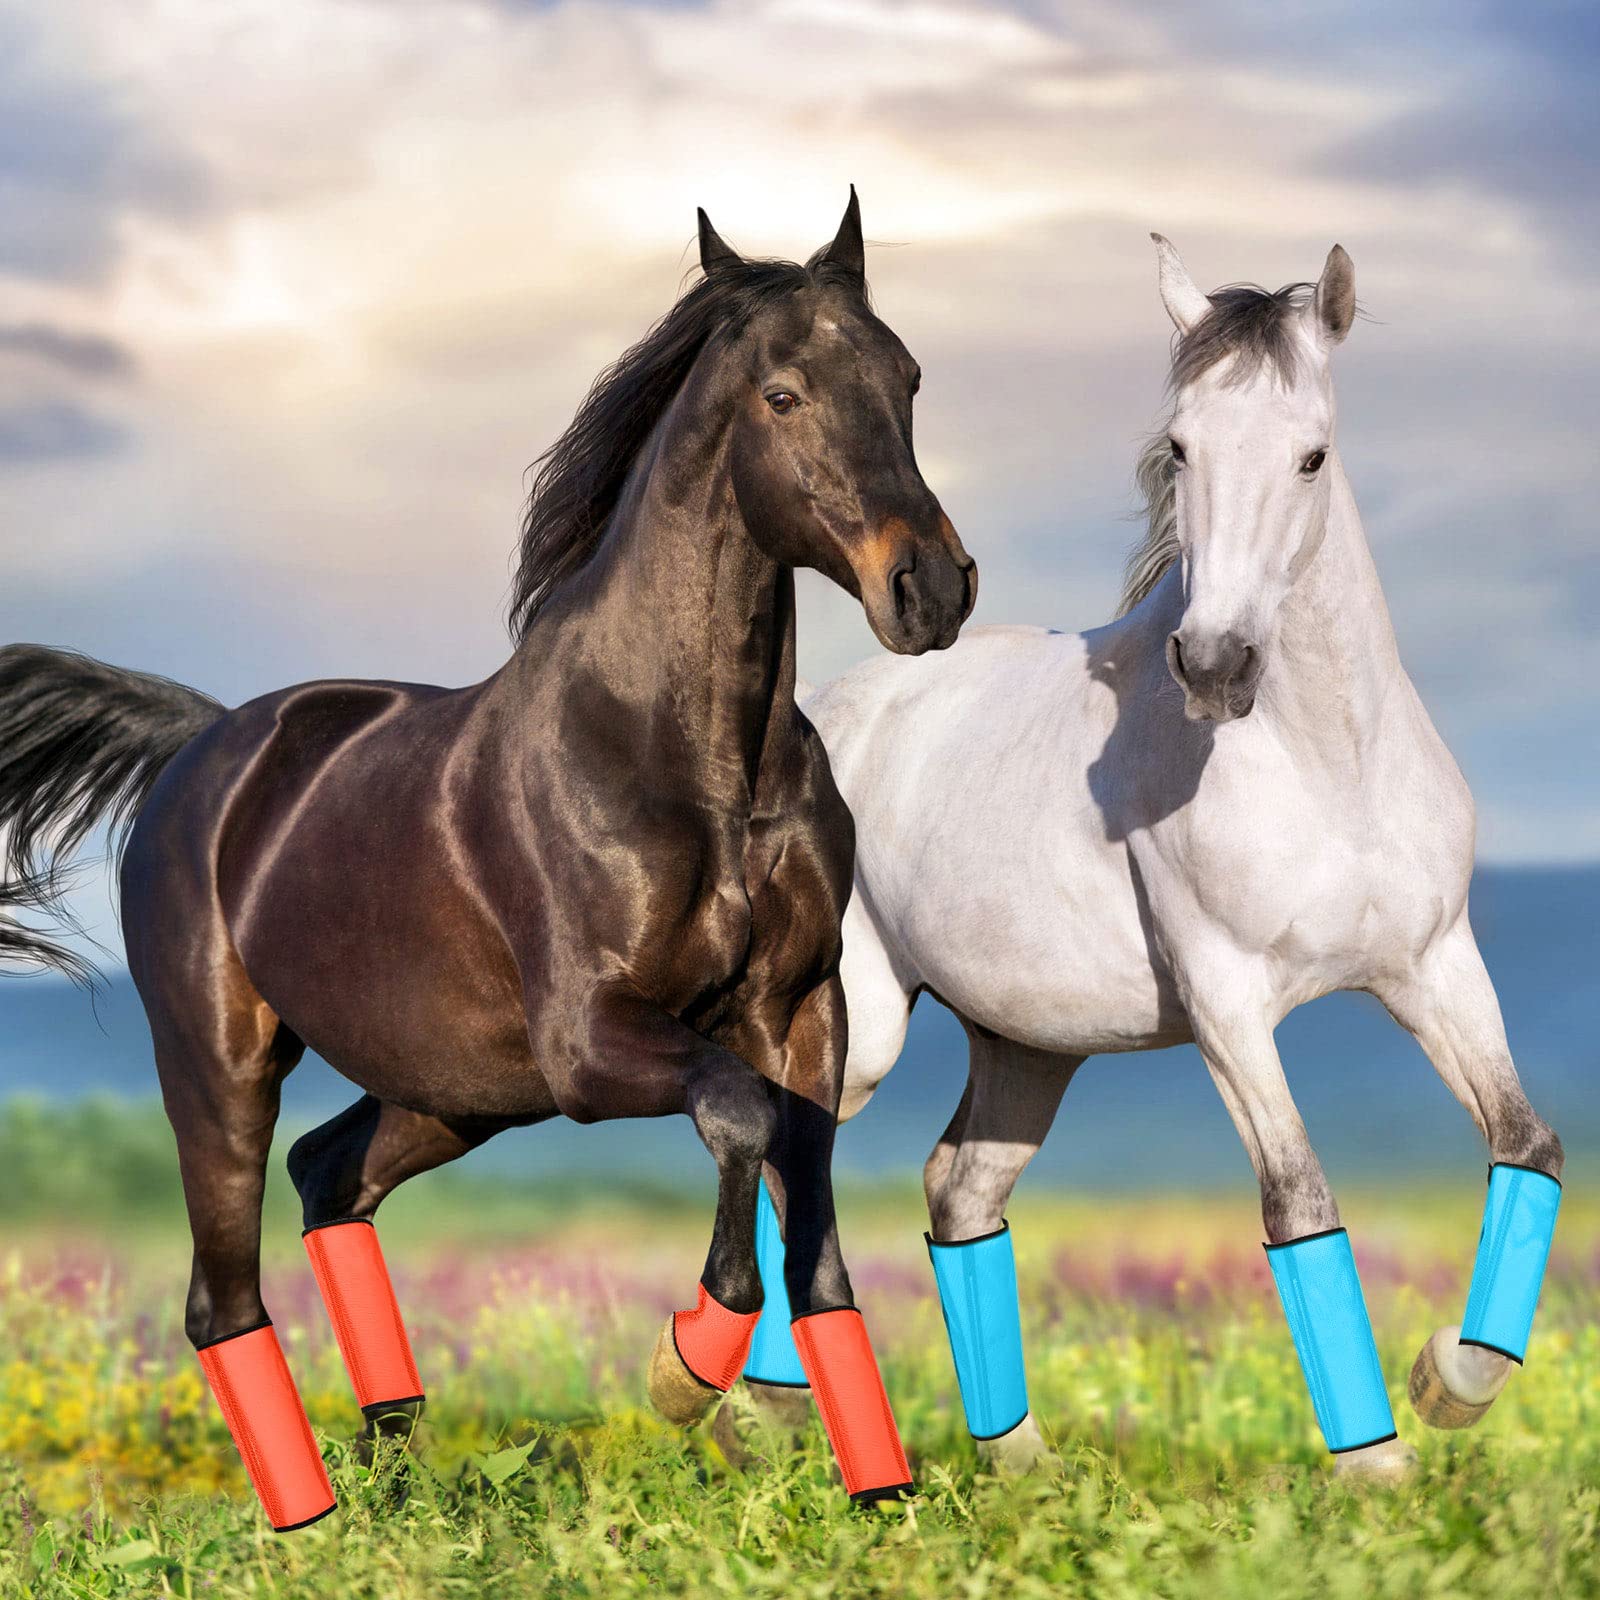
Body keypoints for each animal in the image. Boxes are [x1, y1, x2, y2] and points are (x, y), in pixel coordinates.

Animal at [0, 191, 976, 1527]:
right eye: (782, 393)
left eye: (908, 376)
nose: (931, 588)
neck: (690, 759)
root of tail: (203, 744)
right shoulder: (591, 1038)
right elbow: (735, 1120)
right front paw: (684, 1368)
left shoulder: (796, 1014)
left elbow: (814, 1230)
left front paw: (882, 1499)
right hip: (223, 1062)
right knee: (222, 1293)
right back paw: (311, 1521)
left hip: (455, 1090)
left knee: (330, 1175)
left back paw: (393, 1476)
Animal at [735, 236, 1563, 1482]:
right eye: (1180, 446)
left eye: (1312, 453)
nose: (1215, 664)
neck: (1327, 766)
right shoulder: (1227, 1004)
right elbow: (1298, 1198)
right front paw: (1376, 1463)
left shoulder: (1432, 968)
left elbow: (1529, 1145)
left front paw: (1448, 1380)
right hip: (863, 1026)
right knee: (793, 1163)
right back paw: (735, 1400)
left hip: (1028, 1046)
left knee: (957, 1188)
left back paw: (1017, 1459)